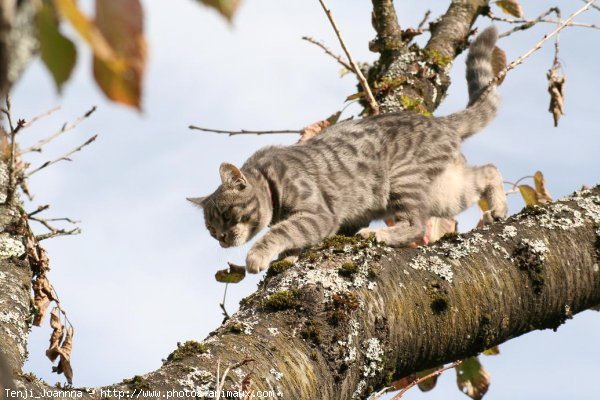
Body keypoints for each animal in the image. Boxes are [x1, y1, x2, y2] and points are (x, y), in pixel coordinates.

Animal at [189, 26, 506, 274]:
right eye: (212, 230)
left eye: (226, 216)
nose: (222, 239)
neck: (269, 178)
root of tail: (441, 122)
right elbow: (292, 238)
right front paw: (286, 257)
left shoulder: (318, 214)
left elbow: (281, 231)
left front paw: (259, 255)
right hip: (445, 191)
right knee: (488, 170)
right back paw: (499, 210)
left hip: (404, 179)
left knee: (416, 223)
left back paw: (378, 234)